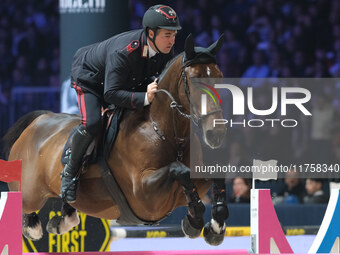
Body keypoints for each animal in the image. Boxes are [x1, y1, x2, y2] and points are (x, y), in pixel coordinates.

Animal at [1, 34, 228, 246]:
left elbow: (215, 174)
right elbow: (180, 170)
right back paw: (37, 225)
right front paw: (195, 221)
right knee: (27, 214)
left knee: (68, 213)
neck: (165, 131)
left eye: (220, 77)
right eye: (194, 80)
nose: (216, 134)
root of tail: (37, 121)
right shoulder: (145, 194)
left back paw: (59, 222)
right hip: (29, 195)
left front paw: (215, 226)